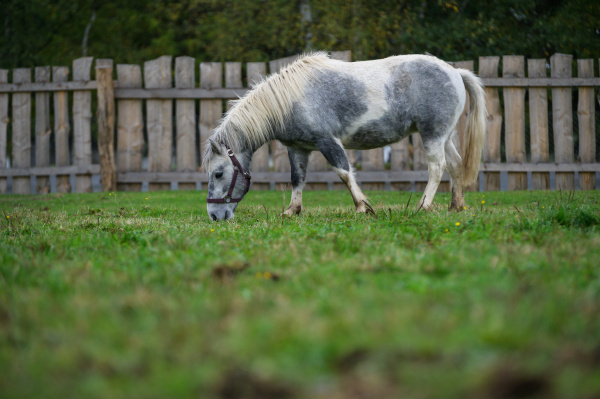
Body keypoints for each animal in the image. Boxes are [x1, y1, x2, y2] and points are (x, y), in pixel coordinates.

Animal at [204, 52, 486, 222]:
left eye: (218, 173)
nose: (215, 216)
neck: (290, 99)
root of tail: (455, 72)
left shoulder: (328, 142)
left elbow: (344, 172)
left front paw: (362, 207)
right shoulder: (297, 148)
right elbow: (297, 178)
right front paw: (292, 210)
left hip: (432, 135)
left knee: (437, 168)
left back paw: (423, 206)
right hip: (444, 137)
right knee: (455, 165)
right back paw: (456, 205)